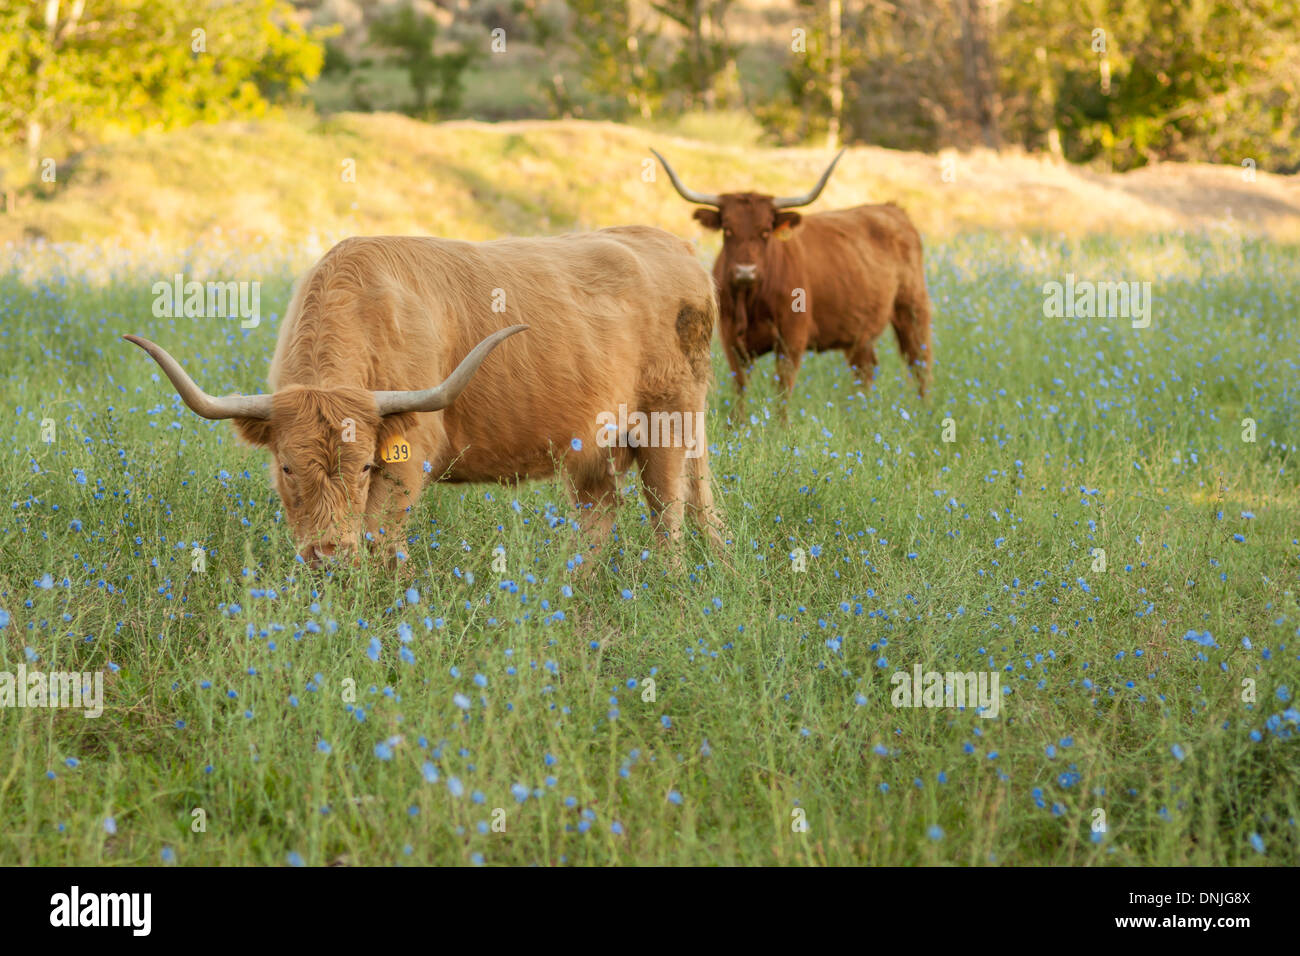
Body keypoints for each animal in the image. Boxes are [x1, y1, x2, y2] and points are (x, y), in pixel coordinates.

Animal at [125, 227, 723, 567]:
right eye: (288, 468)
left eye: (366, 466)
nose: (327, 555)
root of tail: (673, 243)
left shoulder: (408, 459)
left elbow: (381, 541)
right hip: (595, 444)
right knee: (605, 510)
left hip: (669, 421)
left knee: (668, 513)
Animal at [652, 148, 933, 401]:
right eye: (727, 229)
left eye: (766, 231)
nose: (745, 271)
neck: (750, 301)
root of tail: (892, 209)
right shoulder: (731, 341)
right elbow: (740, 390)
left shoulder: (791, 340)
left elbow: (782, 392)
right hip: (859, 332)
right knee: (865, 369)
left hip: (912, 309)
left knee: (920, 363)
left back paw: (923, 409)